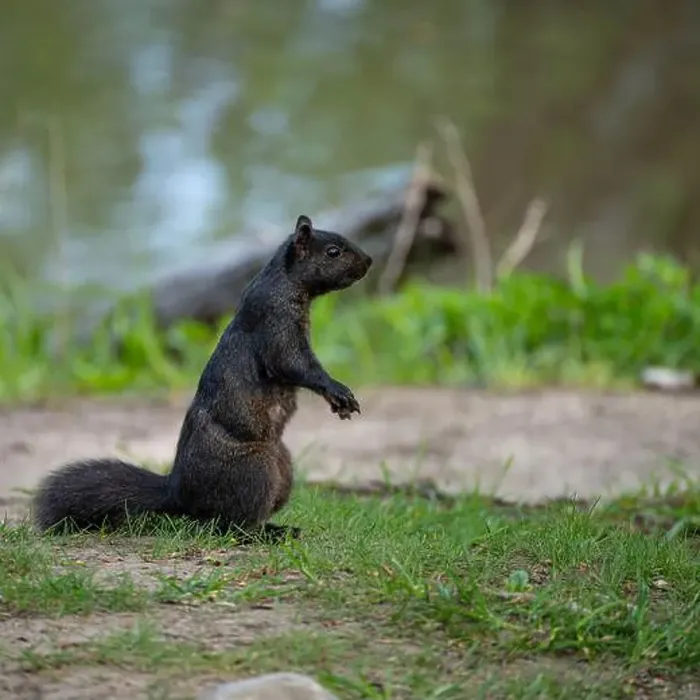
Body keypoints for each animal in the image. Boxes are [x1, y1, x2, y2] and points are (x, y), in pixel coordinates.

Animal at [33, 214, 372, 542]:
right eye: (333, 252)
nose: (369, 261)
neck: (285, 283)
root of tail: (178, 495)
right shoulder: (274, 322)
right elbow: (294, 363)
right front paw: (338, 392)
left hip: (283, 466)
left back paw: (280, 528)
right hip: (255, 470)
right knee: (230, 525)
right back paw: (269, 535)